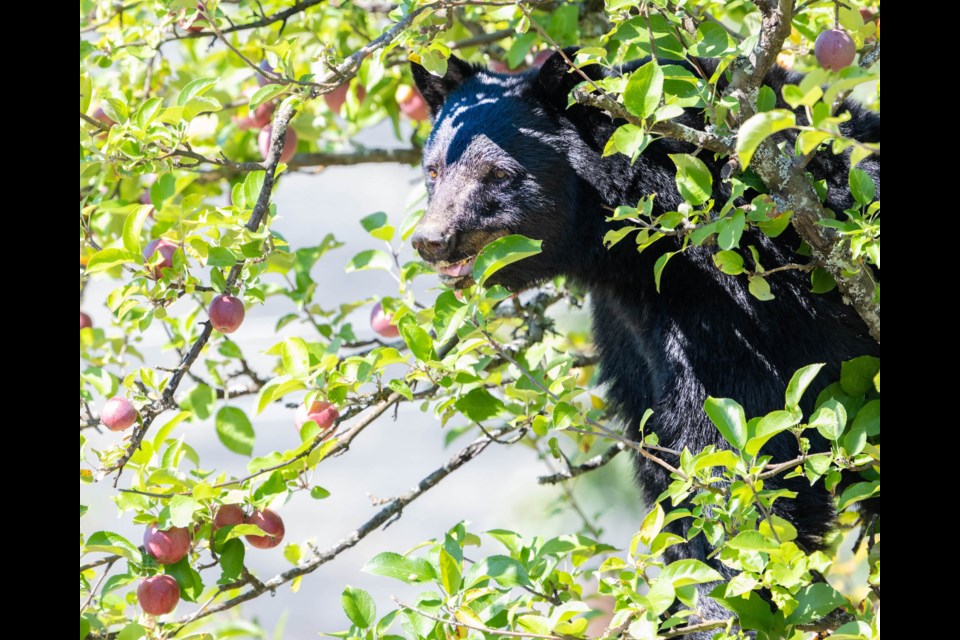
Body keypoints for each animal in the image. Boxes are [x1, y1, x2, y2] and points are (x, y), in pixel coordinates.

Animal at [408, 52, 880, 632]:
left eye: (498, 173)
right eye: (434, 169)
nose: (432, 239)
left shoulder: (732, 309)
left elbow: (729, 447)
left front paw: (726, 604)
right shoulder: (628, 329)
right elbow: (661, 452)